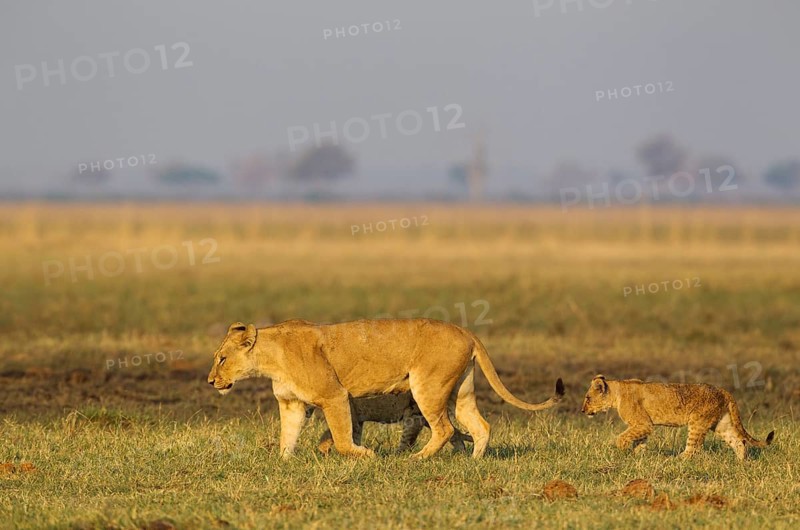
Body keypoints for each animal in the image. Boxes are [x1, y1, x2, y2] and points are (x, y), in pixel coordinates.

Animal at [314, 393, 473, 454]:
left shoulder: (351, 418)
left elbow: (330, 434)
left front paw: (323, 450)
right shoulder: (357, 421)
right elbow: (354, 438)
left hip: (414, 414)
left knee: (408, 440)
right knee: (453, 432)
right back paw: (462, 452)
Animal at [581, 374, 775, 460]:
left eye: (588, 398)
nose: (582, 410)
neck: (617, 393)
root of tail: (723, 391)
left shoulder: (643, 423)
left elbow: (623, 437)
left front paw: (622, 450)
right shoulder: (644, 426)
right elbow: (639, 441)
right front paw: (638, 456)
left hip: (697, 422)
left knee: (694, 449)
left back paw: (677, 459)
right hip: (721, 424)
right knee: (738, 441)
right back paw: (741, 462)